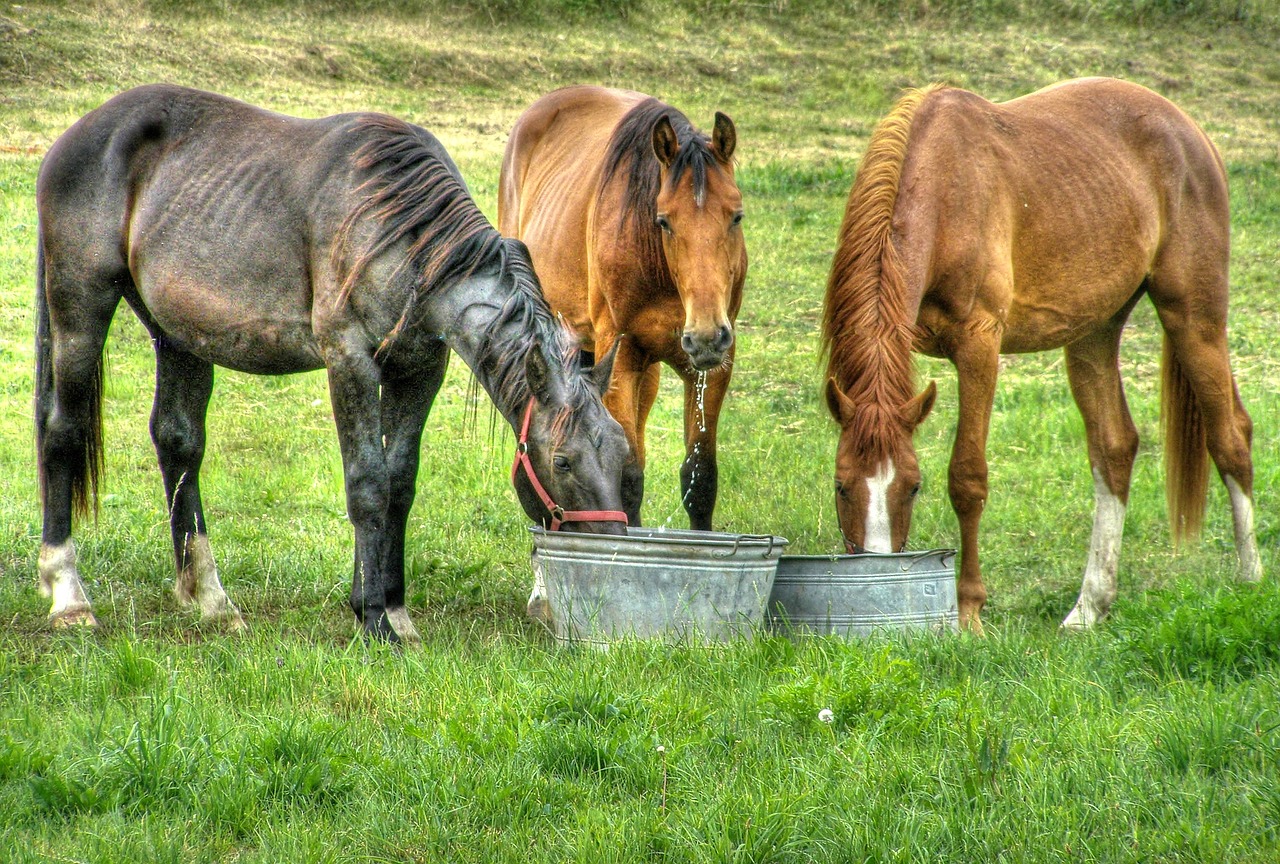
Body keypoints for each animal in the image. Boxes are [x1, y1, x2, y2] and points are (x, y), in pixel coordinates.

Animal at [40, 84, 634, 642]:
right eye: (562, 462)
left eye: (622, 453)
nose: (608, 561)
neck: (404, 233)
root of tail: (80, 133)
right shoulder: (349, 359)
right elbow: (367, 484)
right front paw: (373, 620)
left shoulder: (418, 370)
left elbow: (399, 483)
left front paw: (392, 608)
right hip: (81, 304)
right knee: (61, 432)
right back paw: (68, 595)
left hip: (178, 334)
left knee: (178, 443)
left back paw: (211, 600)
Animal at [494, 87, 747, 535]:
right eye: (663, 221)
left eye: (736, 216)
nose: (703, 336)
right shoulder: (622, 355)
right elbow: (629, 476)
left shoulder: (715, 363)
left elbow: (700, 478)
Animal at [824, 77, 1264, 634]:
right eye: (841, 486)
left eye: (914, 486)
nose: (876, 566)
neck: (945, 191)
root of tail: (1191, 132)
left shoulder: (979, 345)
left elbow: (967, 478)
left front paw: (969, 612)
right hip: (1094, 333)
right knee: (1114, 449)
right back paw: (1090, 607)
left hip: (1193, 317)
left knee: (1230, 434)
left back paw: (1250, 579)